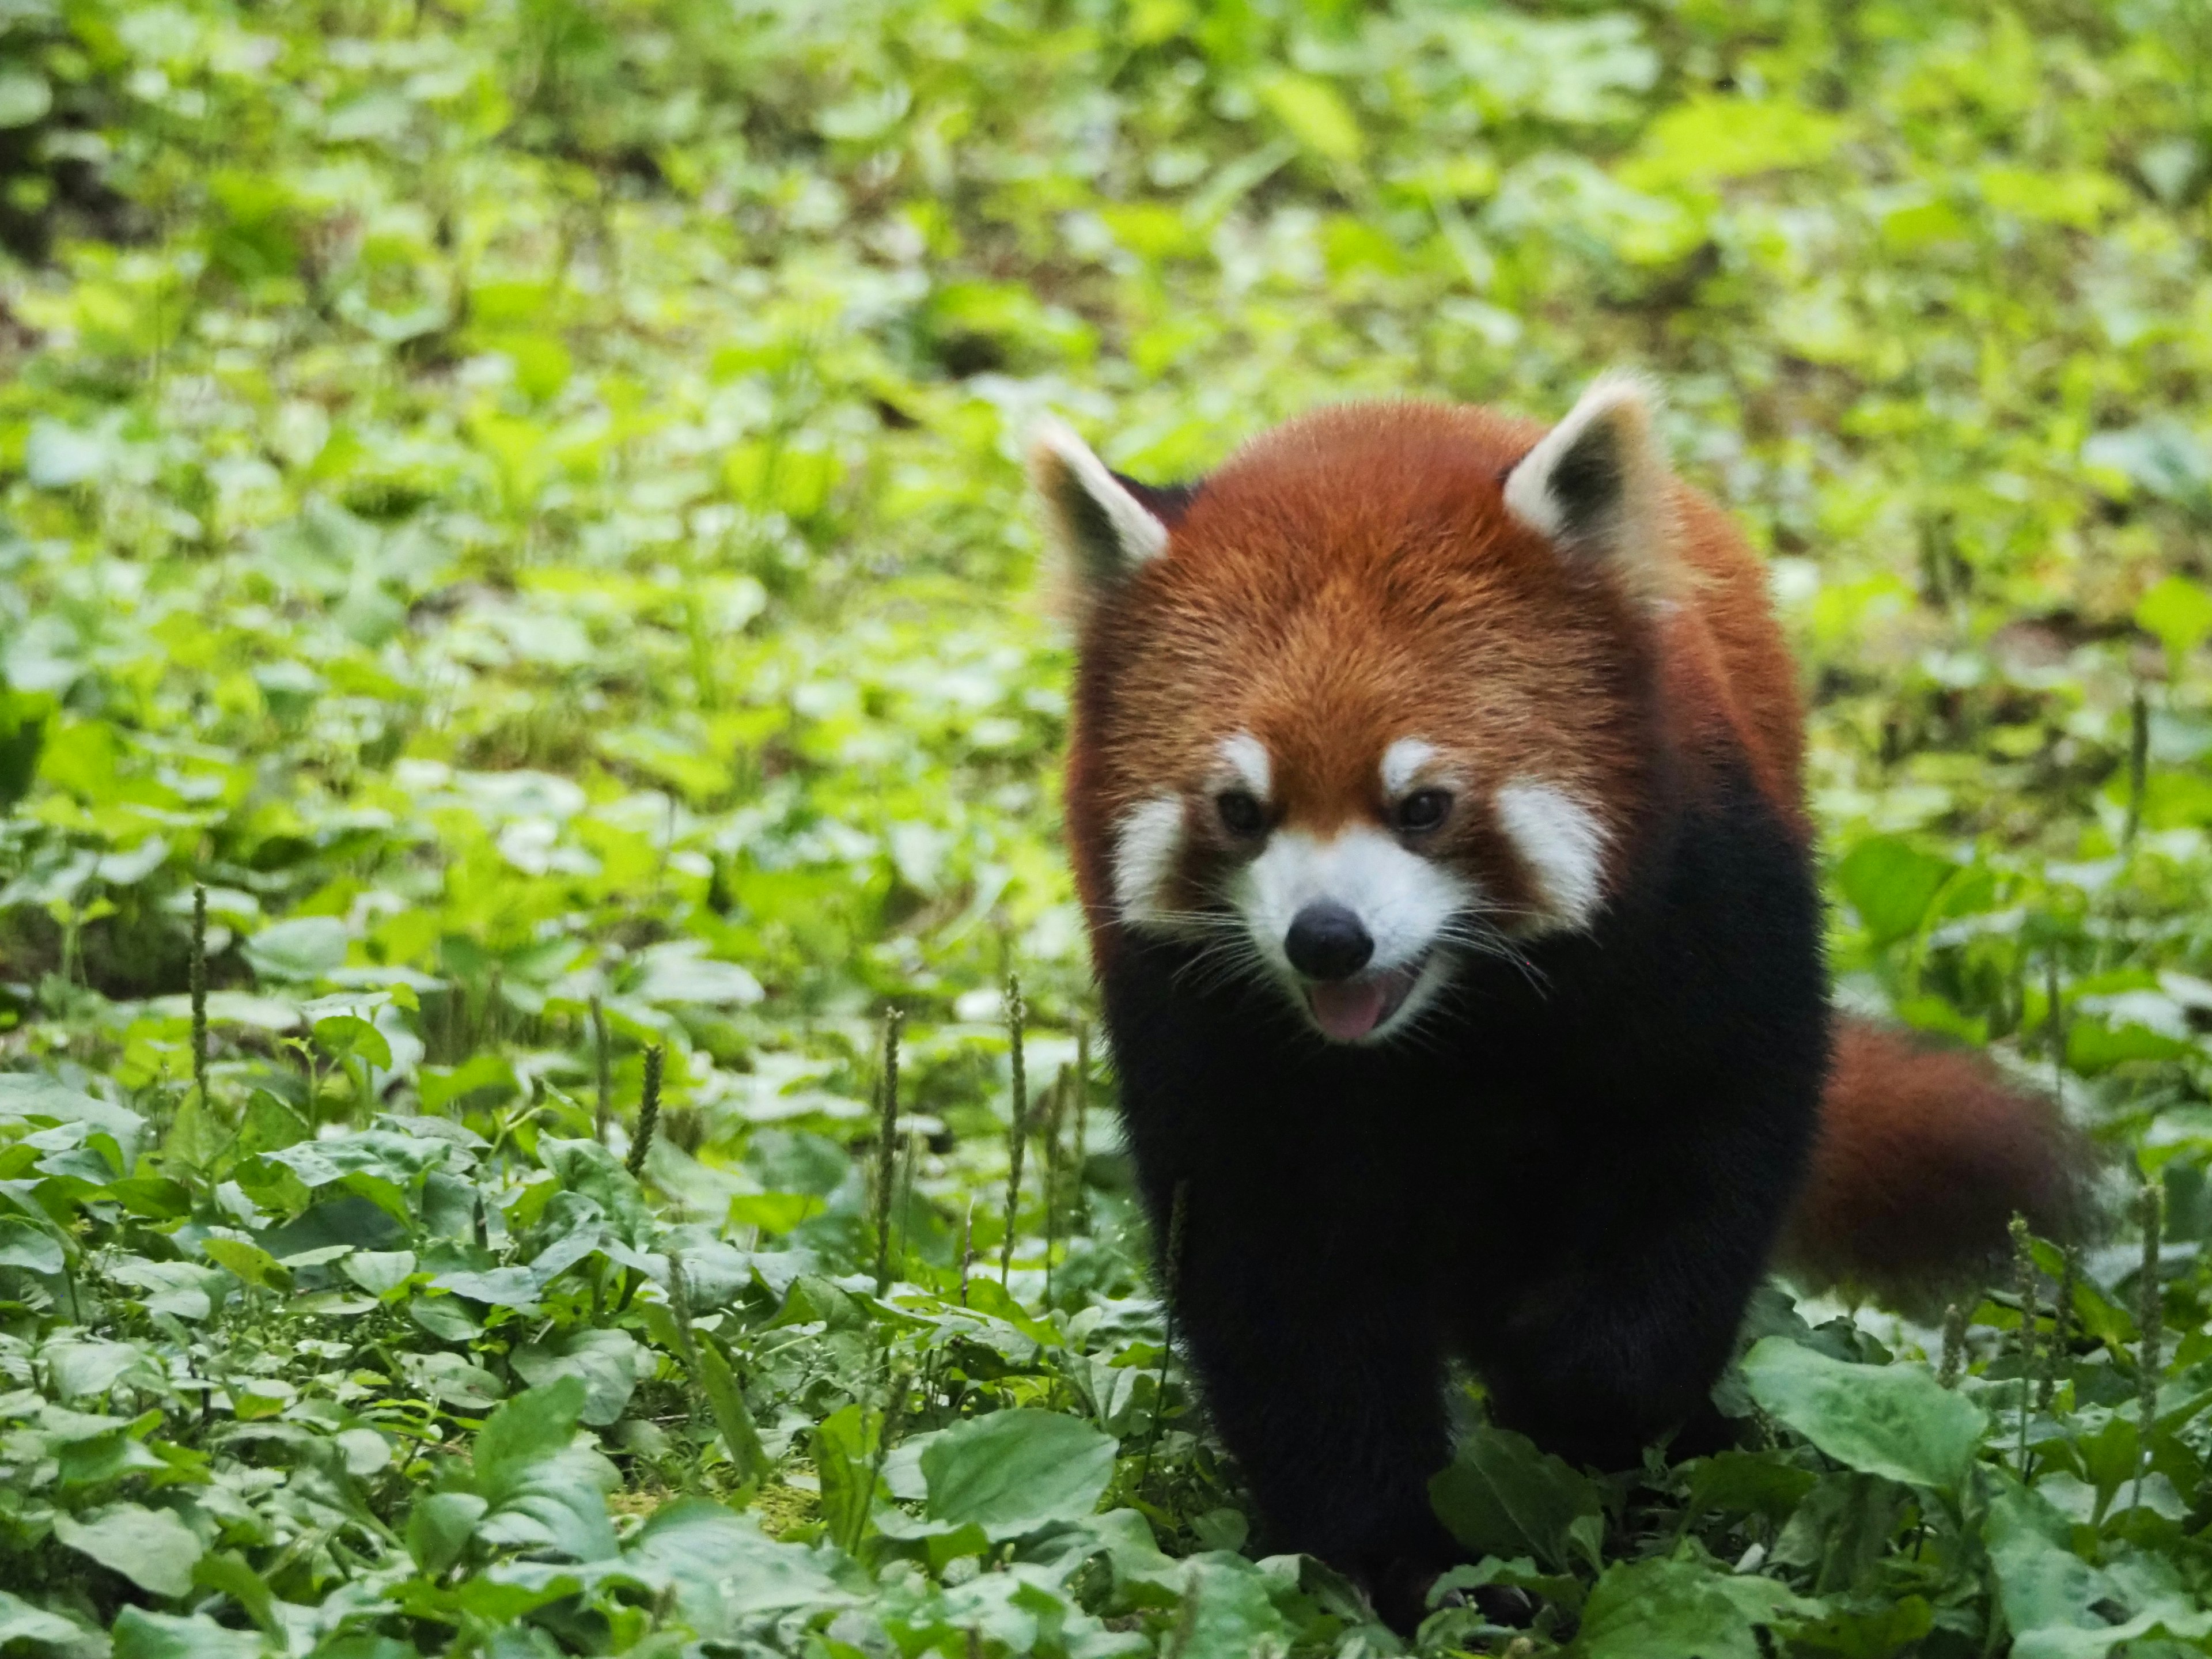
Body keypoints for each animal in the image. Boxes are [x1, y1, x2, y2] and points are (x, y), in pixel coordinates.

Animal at [1031, 373, 2088, 1628]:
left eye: (1424, 805)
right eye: (1243, 810)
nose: (1327, 940)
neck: (1443, 1023)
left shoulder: (1702, 913)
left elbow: (1700, 1173)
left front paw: (1574, 1410)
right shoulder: (1199, 1027)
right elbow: (1283, 1293)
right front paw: (1394, 1555)